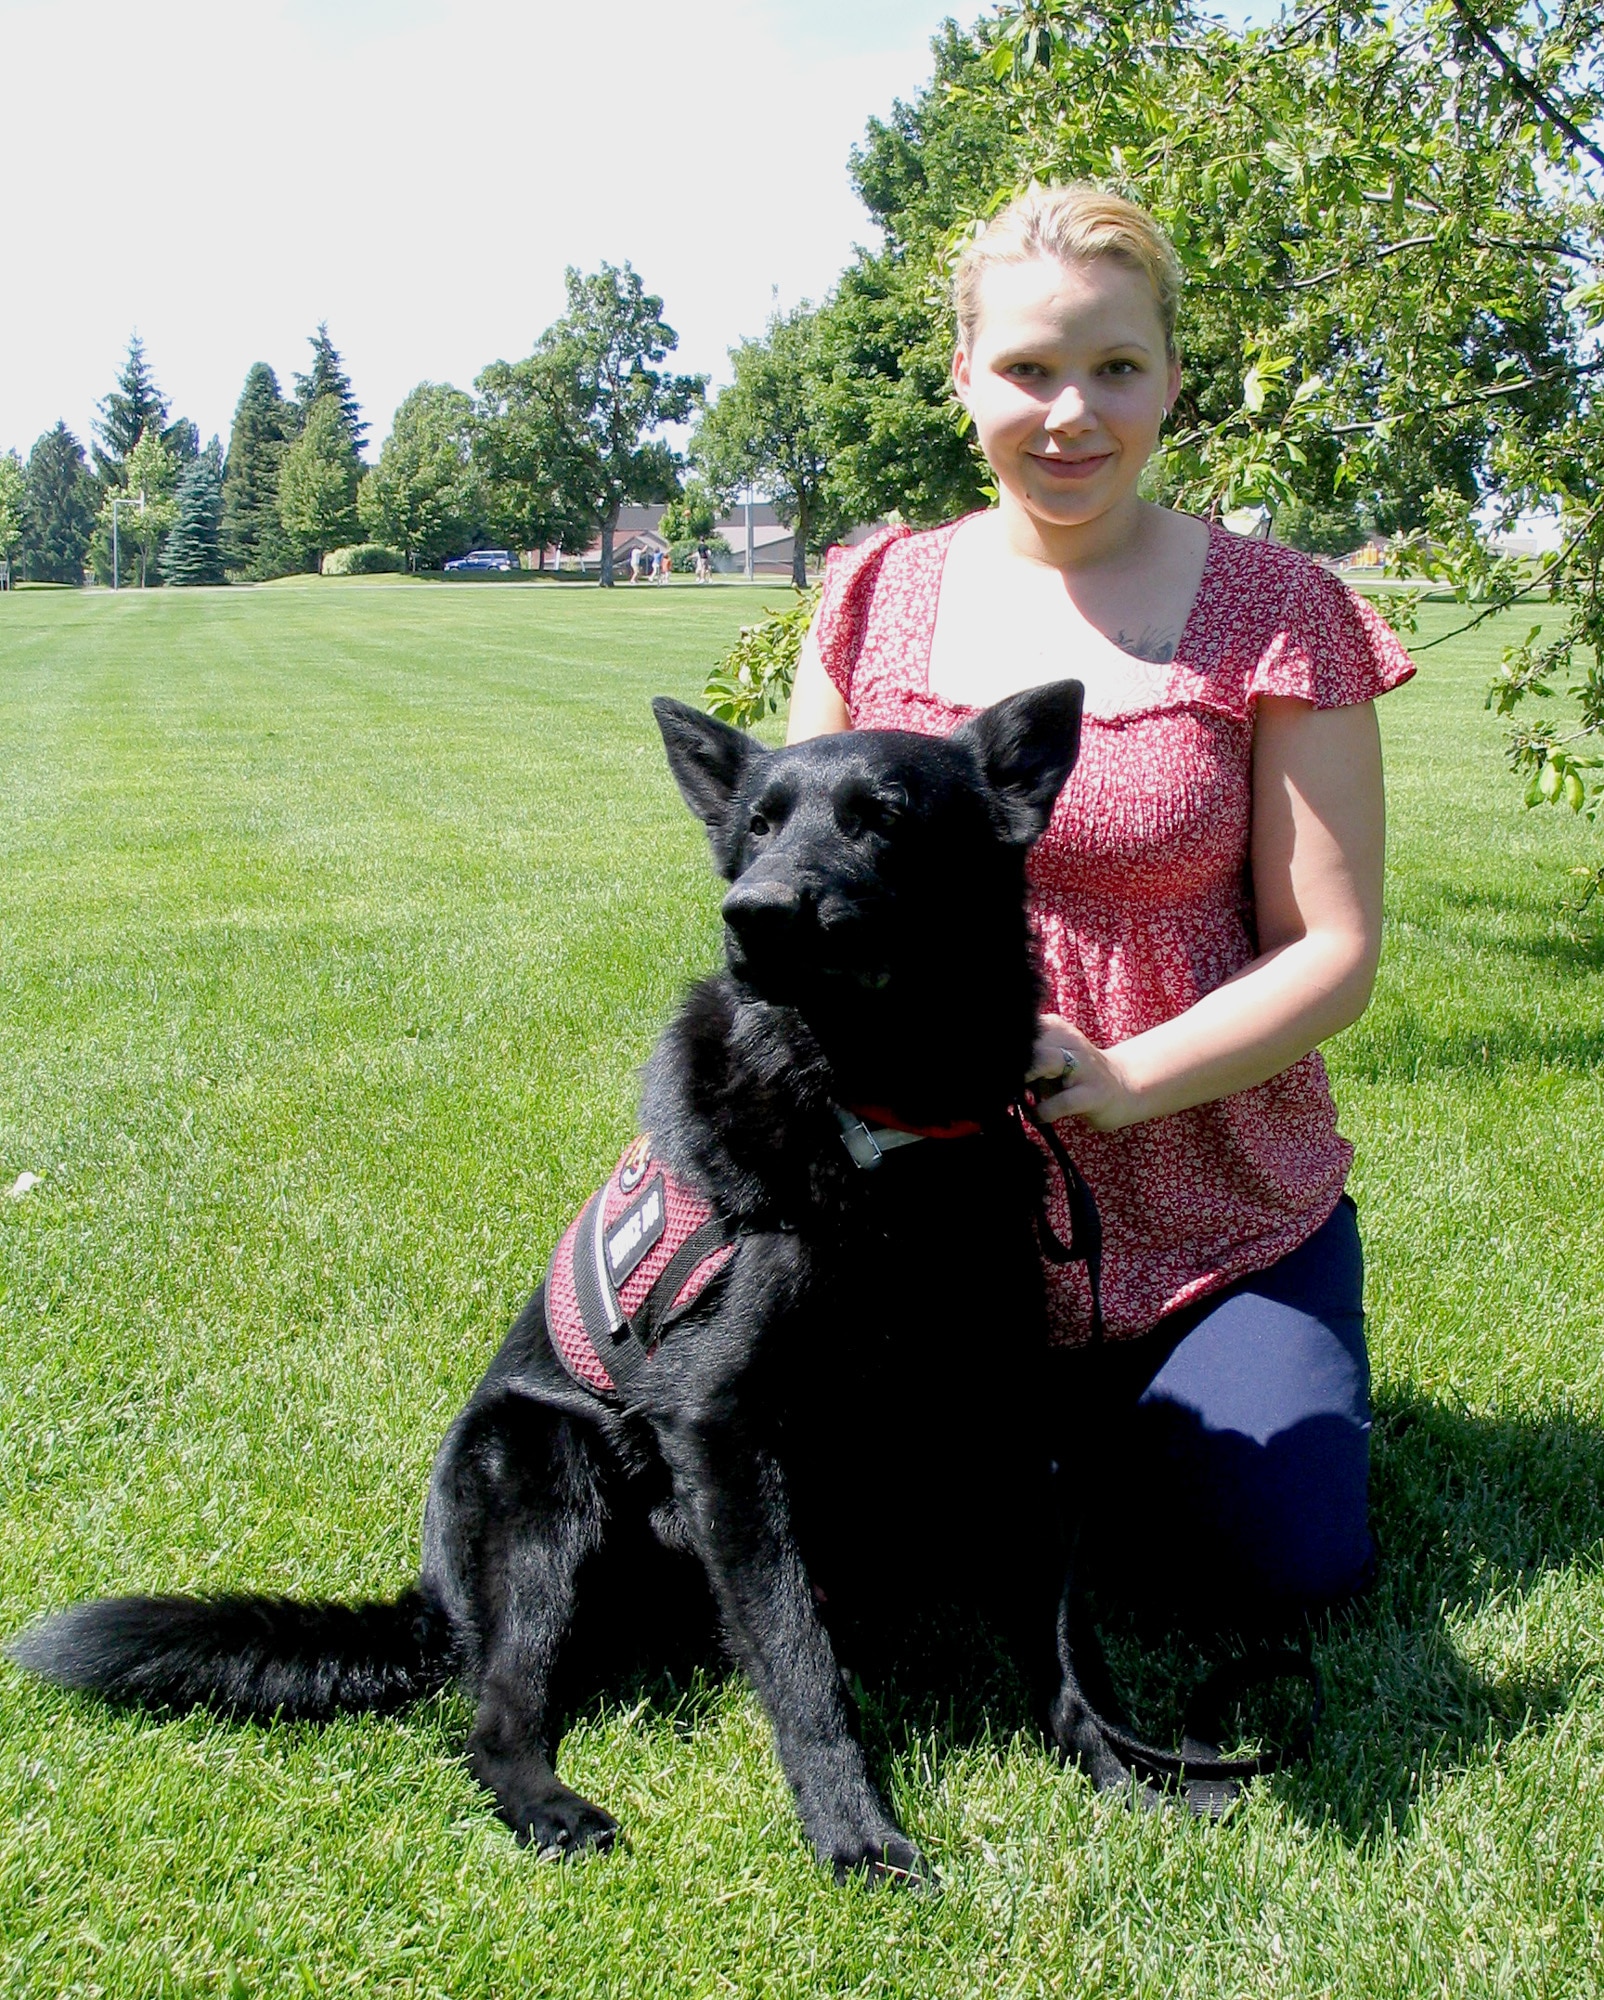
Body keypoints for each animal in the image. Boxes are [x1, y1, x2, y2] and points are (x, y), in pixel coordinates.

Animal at [9, 680, 1128, 1880]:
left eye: (882, 817)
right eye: (760, 826)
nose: (752, 913)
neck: (874, 1116)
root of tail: (434, 1599)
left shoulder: (995, 1405)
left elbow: (1055, 1623)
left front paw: (1115, 1759)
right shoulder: (724, 1431)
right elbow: (798, 1660)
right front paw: (852, 1830)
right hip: (545, 1476)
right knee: (493, 1719)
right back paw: (549, 1804)